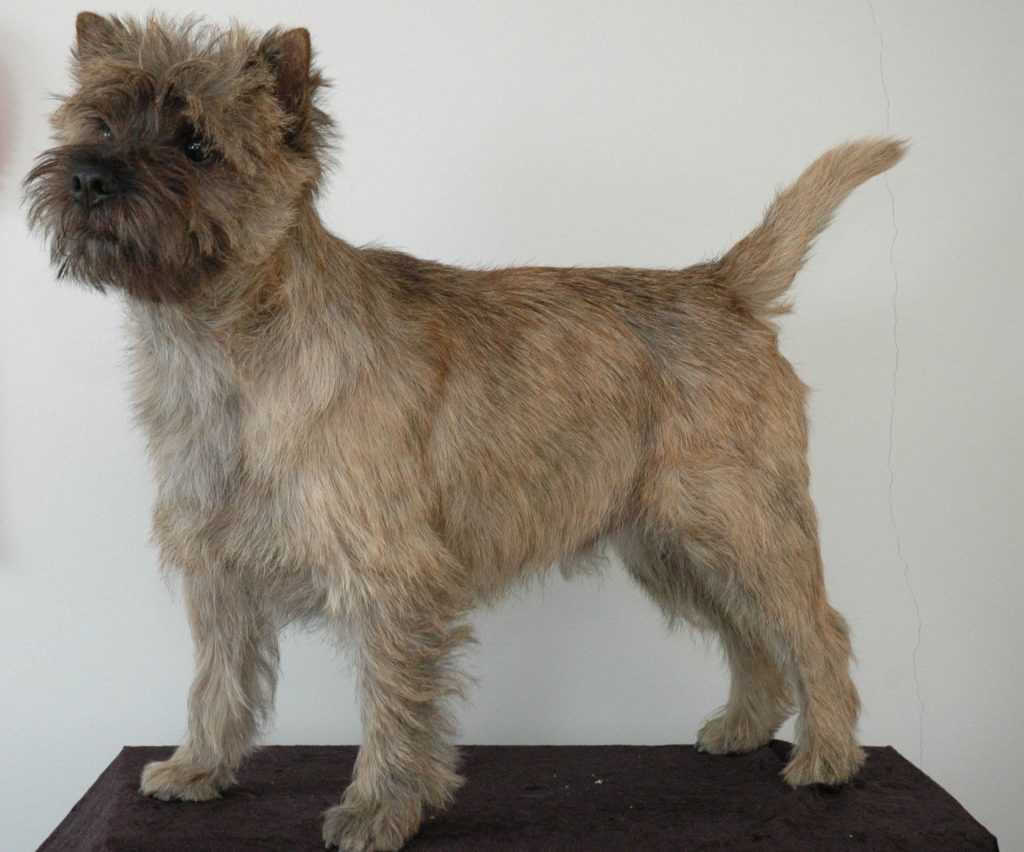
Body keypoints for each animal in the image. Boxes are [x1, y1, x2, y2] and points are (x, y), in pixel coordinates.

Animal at [25, 13, 905, 852]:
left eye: (196, 144)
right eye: (99, 124)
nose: (89, 177)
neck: (220, 348)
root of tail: (723, 285)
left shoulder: (388, 574)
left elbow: (392, 704)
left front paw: (379, 809)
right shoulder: (220, 570)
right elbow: (218, 681)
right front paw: (198, 767)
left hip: (740, 524)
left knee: (815, 628)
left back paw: (827, 758)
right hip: (672, 546)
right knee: (752, 635)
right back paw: (744, 728)